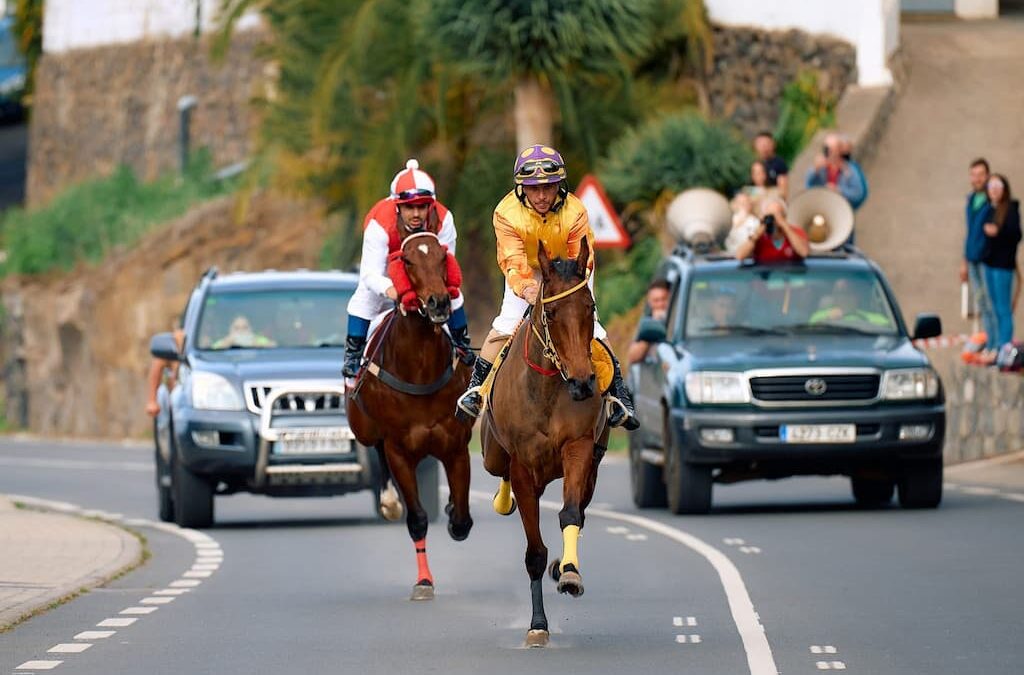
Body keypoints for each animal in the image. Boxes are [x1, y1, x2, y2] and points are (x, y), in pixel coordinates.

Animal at [344, 231, 471, 602]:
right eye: (408, 261)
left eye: (443, 258)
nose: (438, 303)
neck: (421, 370)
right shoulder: (399, 450)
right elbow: (417, 518)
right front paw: (424, 581)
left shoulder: (455, 447)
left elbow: (462, 520)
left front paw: (453, 513)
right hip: (367, 430)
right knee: (376, 453)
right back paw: (389, 501)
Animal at [479, 238, 606, 651]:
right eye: (549, 312)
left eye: (590, 308)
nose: (583, 382)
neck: (550, 386)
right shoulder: (523, 466)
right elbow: (533, 551)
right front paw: (538, 625)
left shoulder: (579, 447)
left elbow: (571, 514)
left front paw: (568, 572)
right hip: (492, 455)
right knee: (500, 473)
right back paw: (502, 501)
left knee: (581, 506)